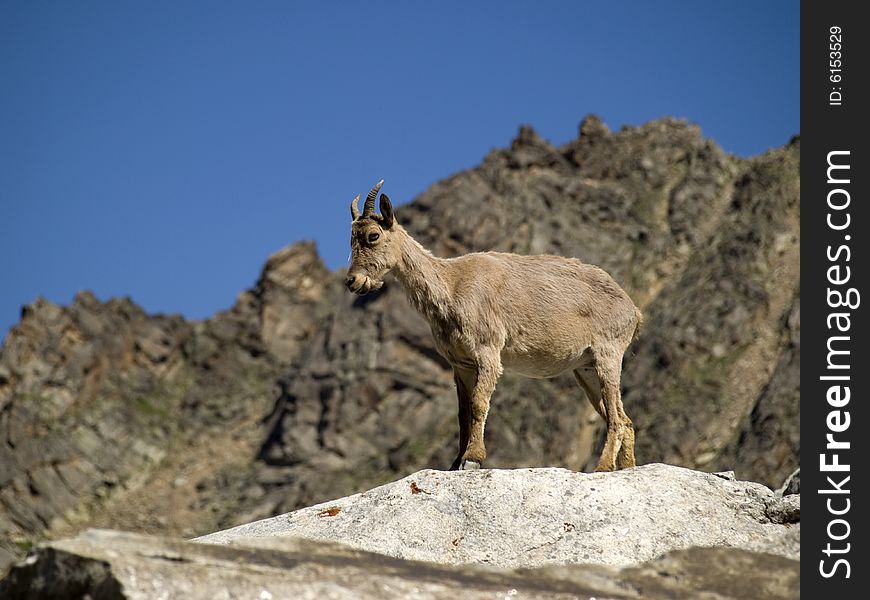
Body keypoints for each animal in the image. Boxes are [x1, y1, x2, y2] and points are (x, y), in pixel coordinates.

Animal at [346, 180, 640, 472]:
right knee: (624, 419)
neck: (451, 286)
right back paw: (627, 467)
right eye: (350, 238)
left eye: (373, 235)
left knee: (616, 417)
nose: (353, 281)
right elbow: (463, 412)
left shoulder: (487, 351)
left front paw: (473, 458)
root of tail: (632, 309)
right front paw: (455, 462)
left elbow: (478, 403)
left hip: (608, 354)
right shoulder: (461, 363)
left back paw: (604, 466)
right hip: (585, 369)